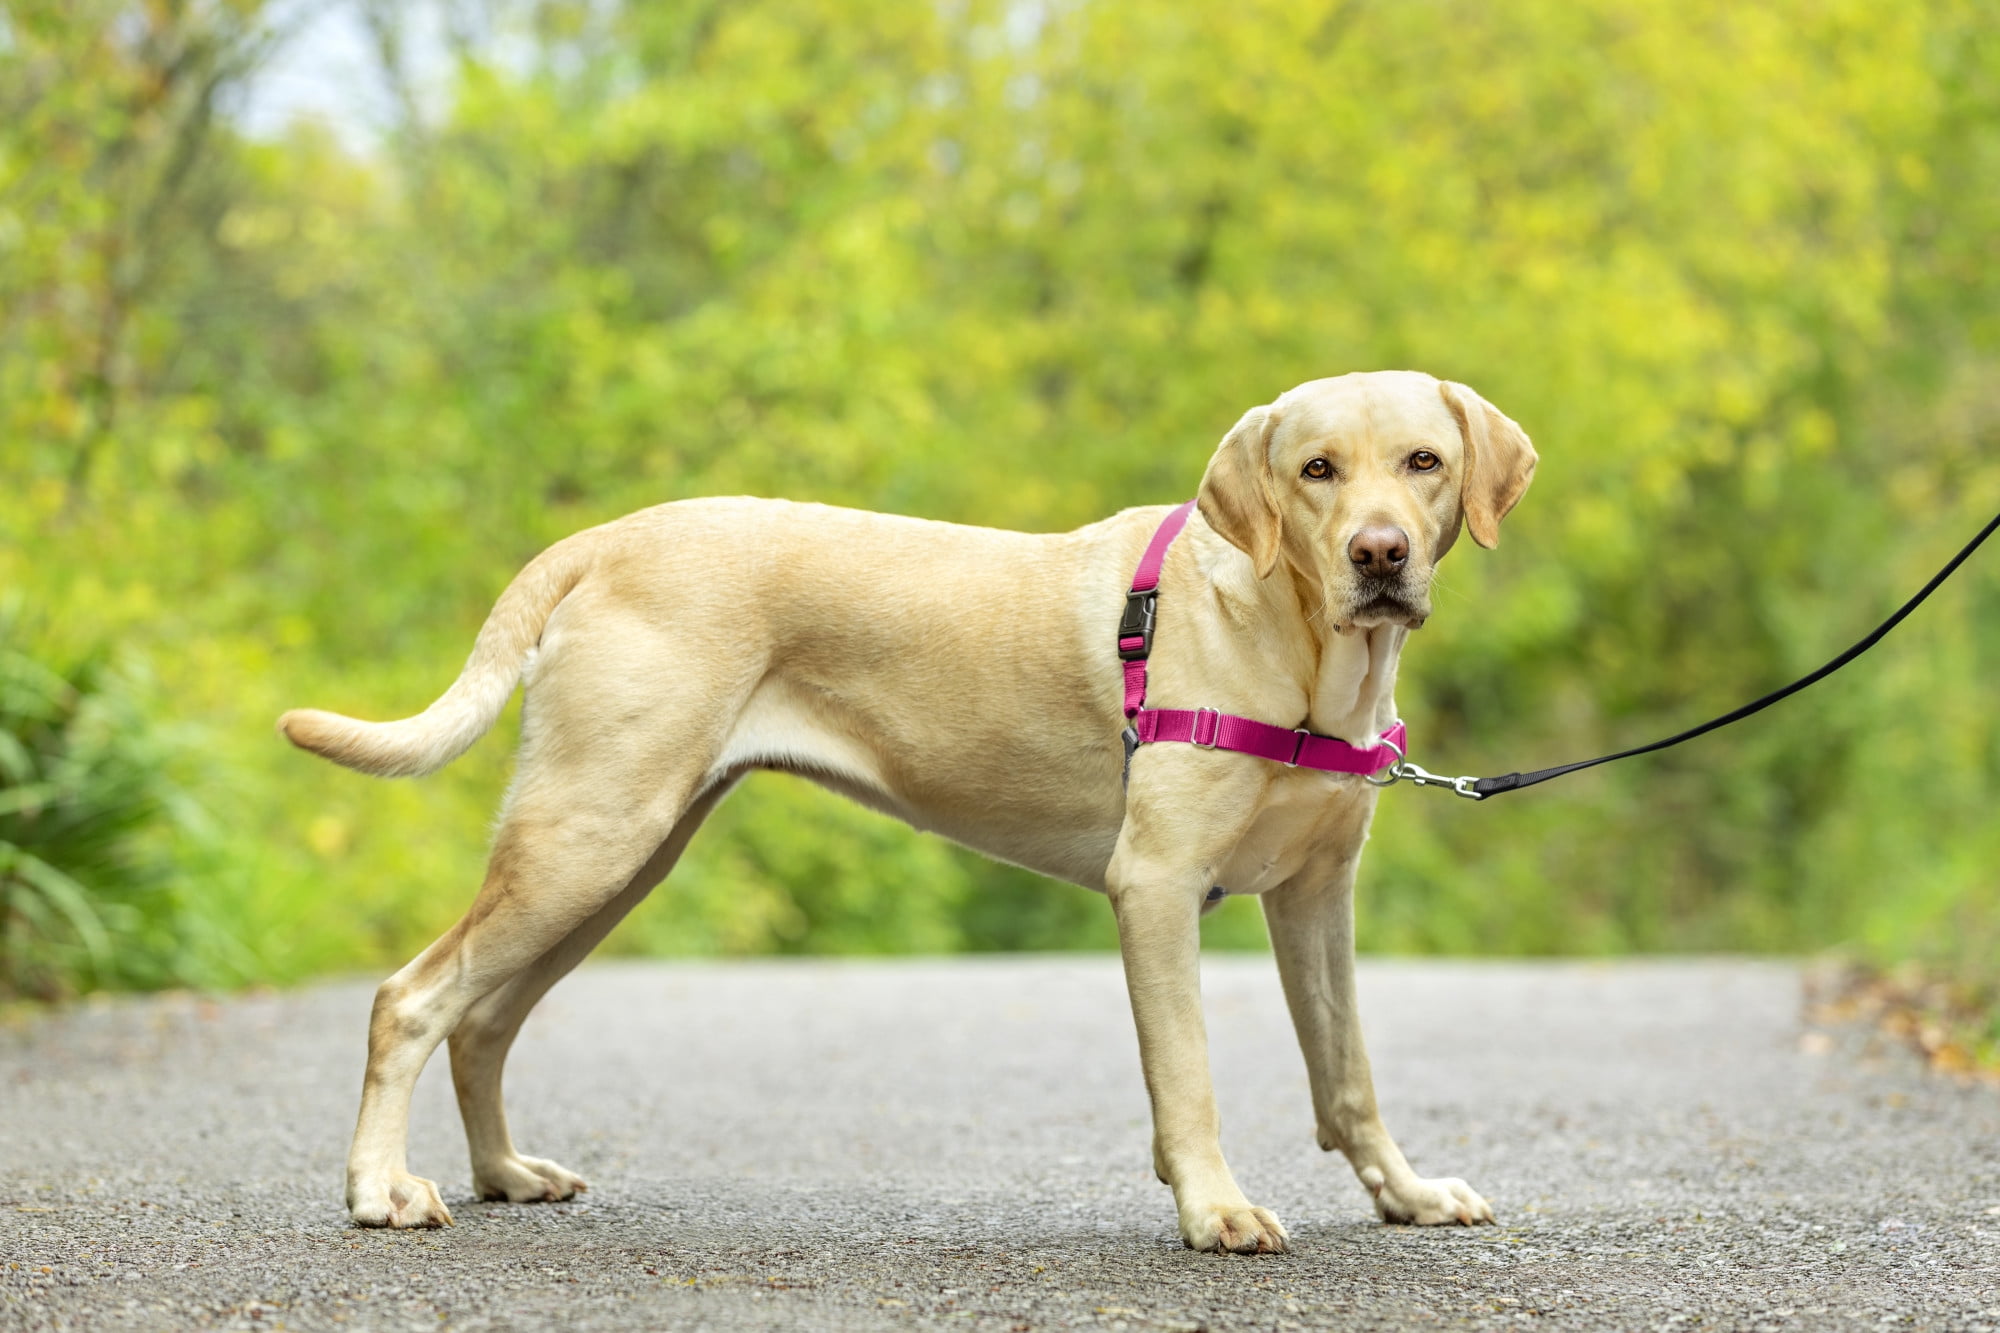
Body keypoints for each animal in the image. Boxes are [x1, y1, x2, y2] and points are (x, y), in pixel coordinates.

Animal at [278, 366, 1528, 1248]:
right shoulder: (1156, 888)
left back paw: (503, 1173)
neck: (1299, 644)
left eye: (1421, 461)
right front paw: (1212, 1206)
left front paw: (1405, 1193)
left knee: (482, 1017)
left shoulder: (1317, 898)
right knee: (412, 997)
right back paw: (379, 1188)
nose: (1379, 554)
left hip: (621, 856)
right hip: (586, 840)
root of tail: (604, 539)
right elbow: (1189, 1075)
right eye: (1315, 469)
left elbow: (1346, 1072)